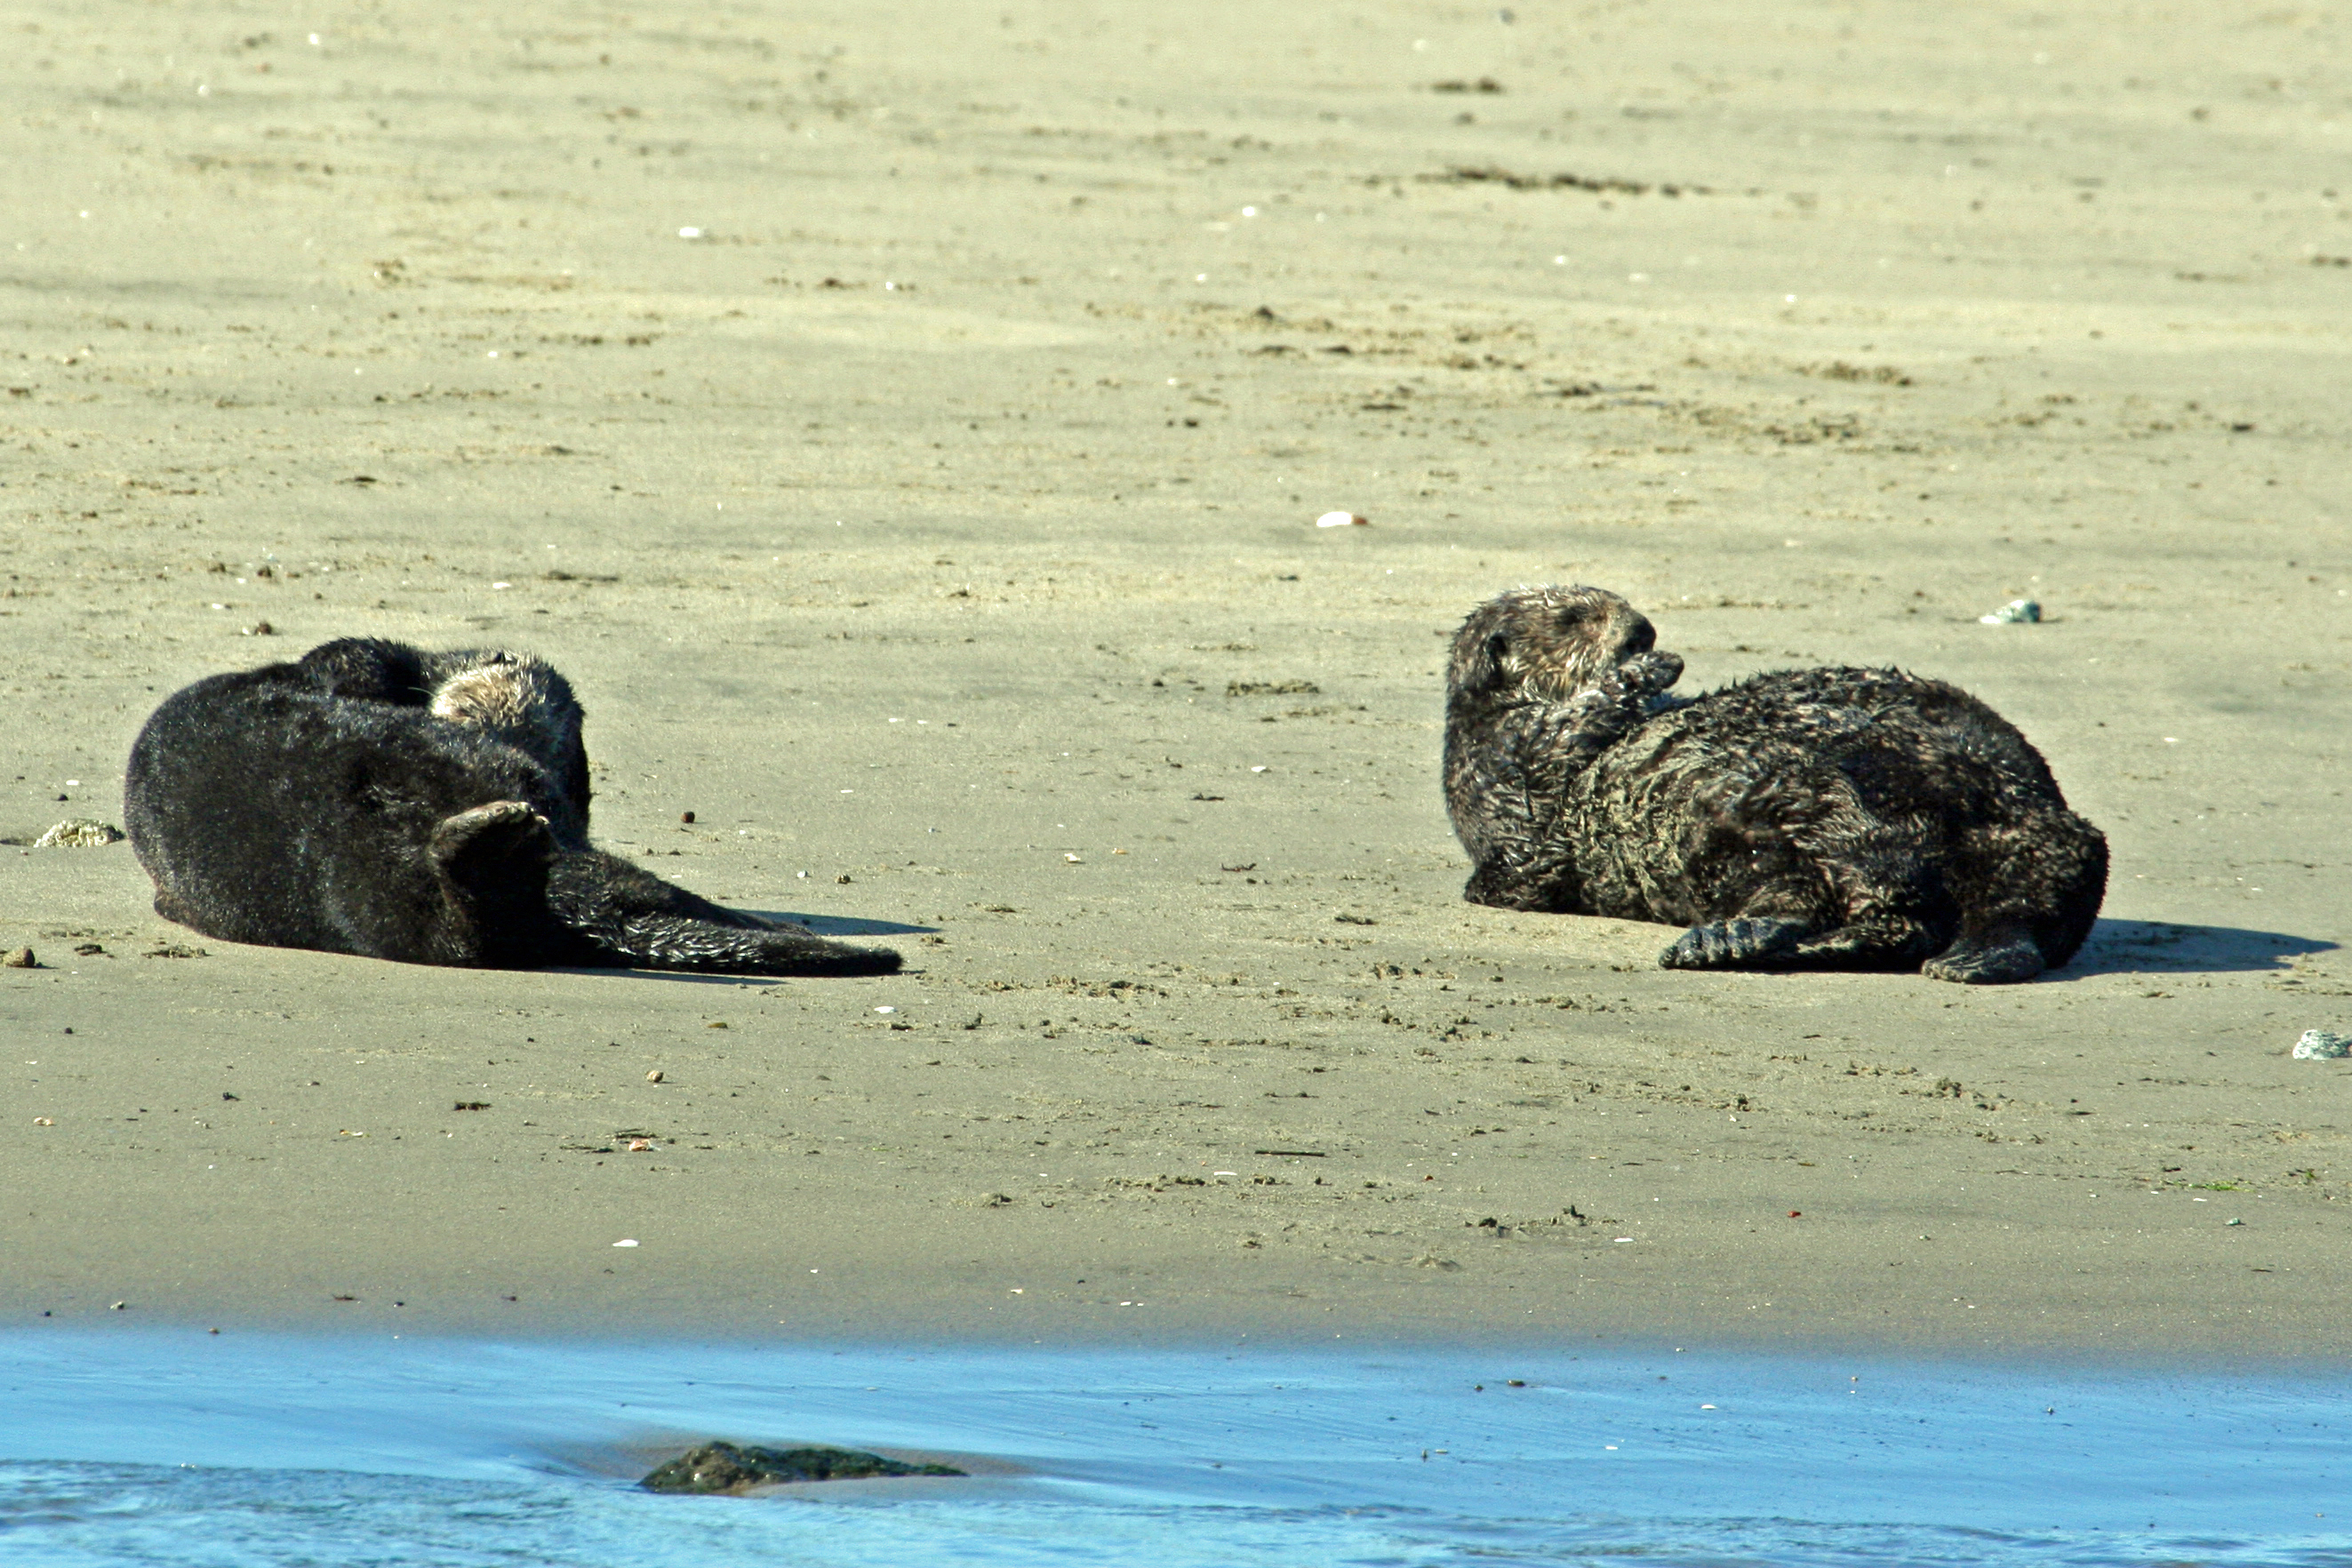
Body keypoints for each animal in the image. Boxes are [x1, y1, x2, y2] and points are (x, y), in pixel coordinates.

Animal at [1443, 587, 2107, 983]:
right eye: (1573, 616)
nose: (1642, 630)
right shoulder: (1520, 754)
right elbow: (1580, 724)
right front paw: (1650, 666)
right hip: (1758, 834)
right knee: (1883, 917)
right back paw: (1728, 942)